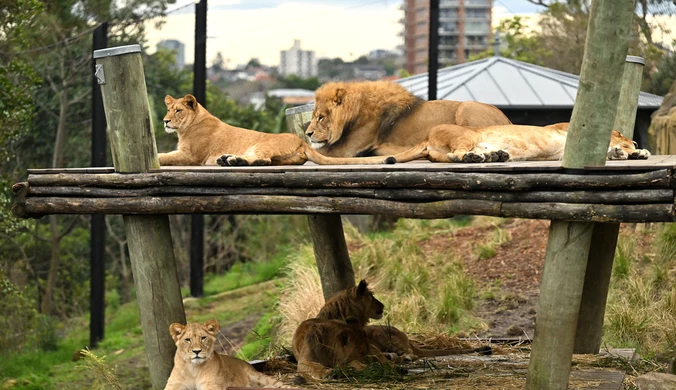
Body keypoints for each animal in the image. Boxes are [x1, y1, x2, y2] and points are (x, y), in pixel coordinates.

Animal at [157, 96, 396, 168]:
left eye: (178, 110)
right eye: (168, 109)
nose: (165, 121)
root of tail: (302, 141)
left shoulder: (191, 155)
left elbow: (164, 156)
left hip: (261, 144)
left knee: (264, 160)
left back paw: (231, 161)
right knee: (265, 161)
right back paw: (228, 160)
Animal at [304, 80, 510, 159]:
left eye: (321, 117)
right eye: (313, 117)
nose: (308, 133)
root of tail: (507, 119)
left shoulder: (347, 149)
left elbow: (317, 149)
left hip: (465, 107)